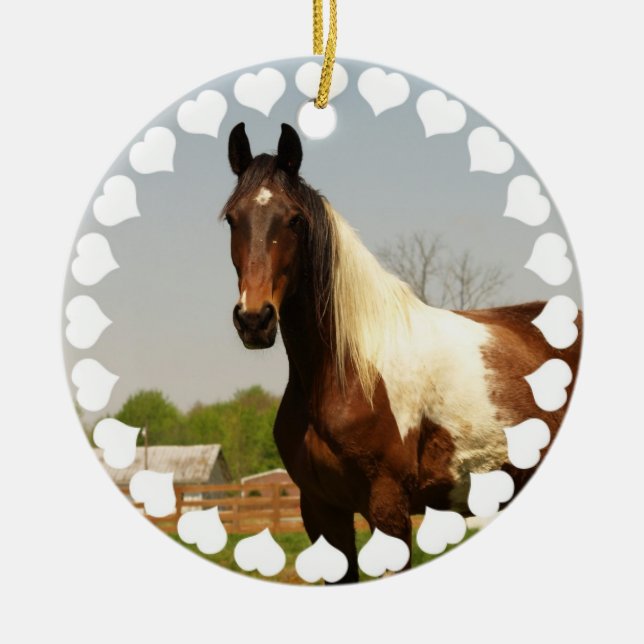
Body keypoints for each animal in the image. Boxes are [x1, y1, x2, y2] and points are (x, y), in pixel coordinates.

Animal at [221, 122, 582, 583]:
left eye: (295, 219)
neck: (346, 370)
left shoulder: (388, 509)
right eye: (233, 218)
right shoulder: (323, 513)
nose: (254, 319)